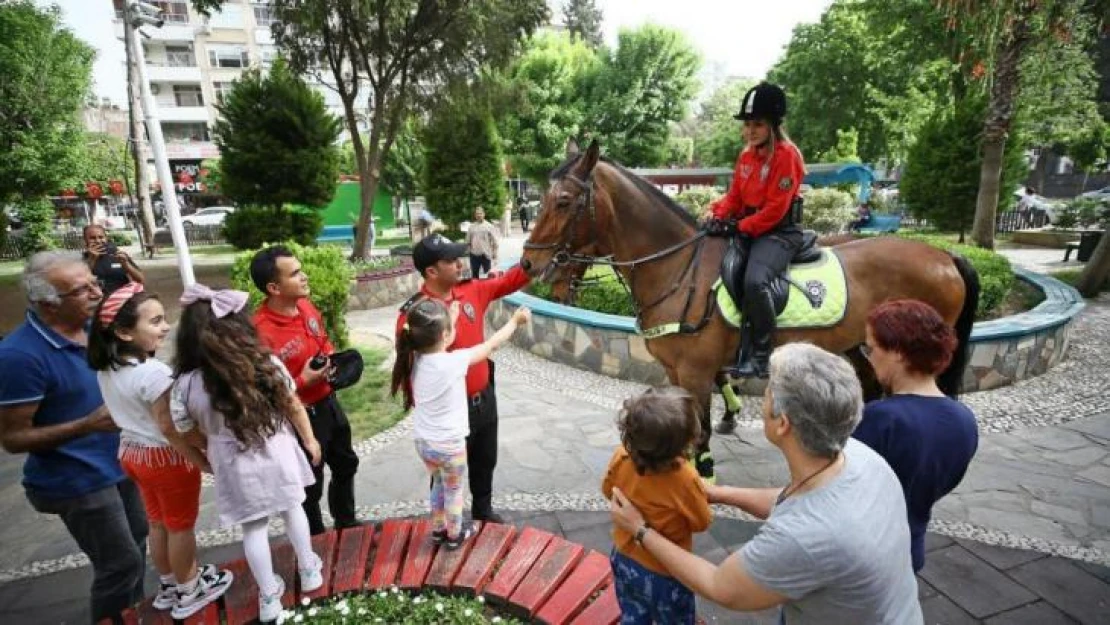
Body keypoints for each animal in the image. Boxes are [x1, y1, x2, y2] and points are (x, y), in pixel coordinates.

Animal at [519, 140, 981, 479]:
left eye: (564, 201)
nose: (529, 264)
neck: (680, 267)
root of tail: (945, 256)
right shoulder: (676, 372)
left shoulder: (697, 372)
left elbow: (702, 431)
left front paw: (703, 477)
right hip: (857, 346)